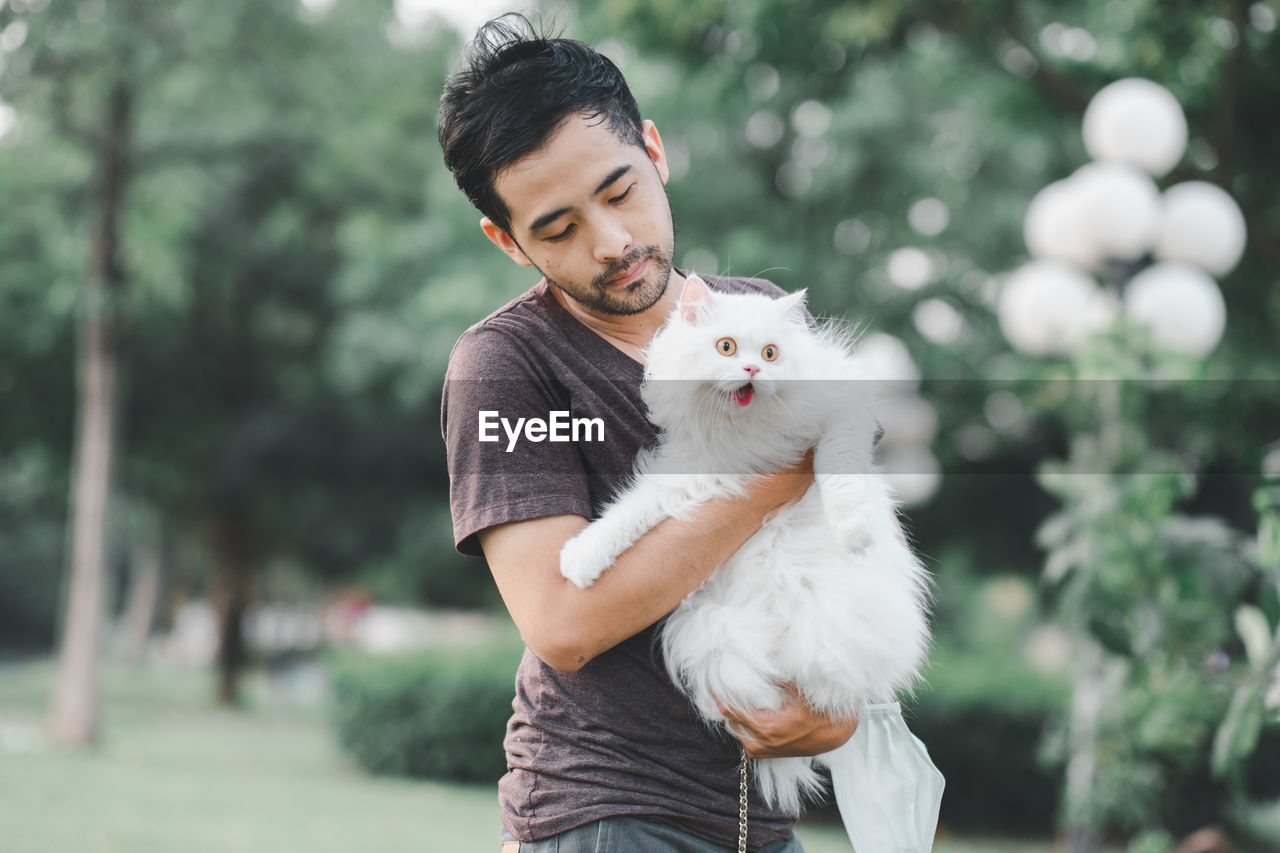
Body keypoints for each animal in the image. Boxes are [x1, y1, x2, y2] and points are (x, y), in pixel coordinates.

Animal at [560, 275, 931, 814]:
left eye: (772, 353)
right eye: (727, 347)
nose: (754, 368)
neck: (747, 434)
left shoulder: (843, 416)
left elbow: (837, 470)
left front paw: (853, 531)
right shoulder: (694, 474)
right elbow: (626, 515)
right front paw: (580, 562)